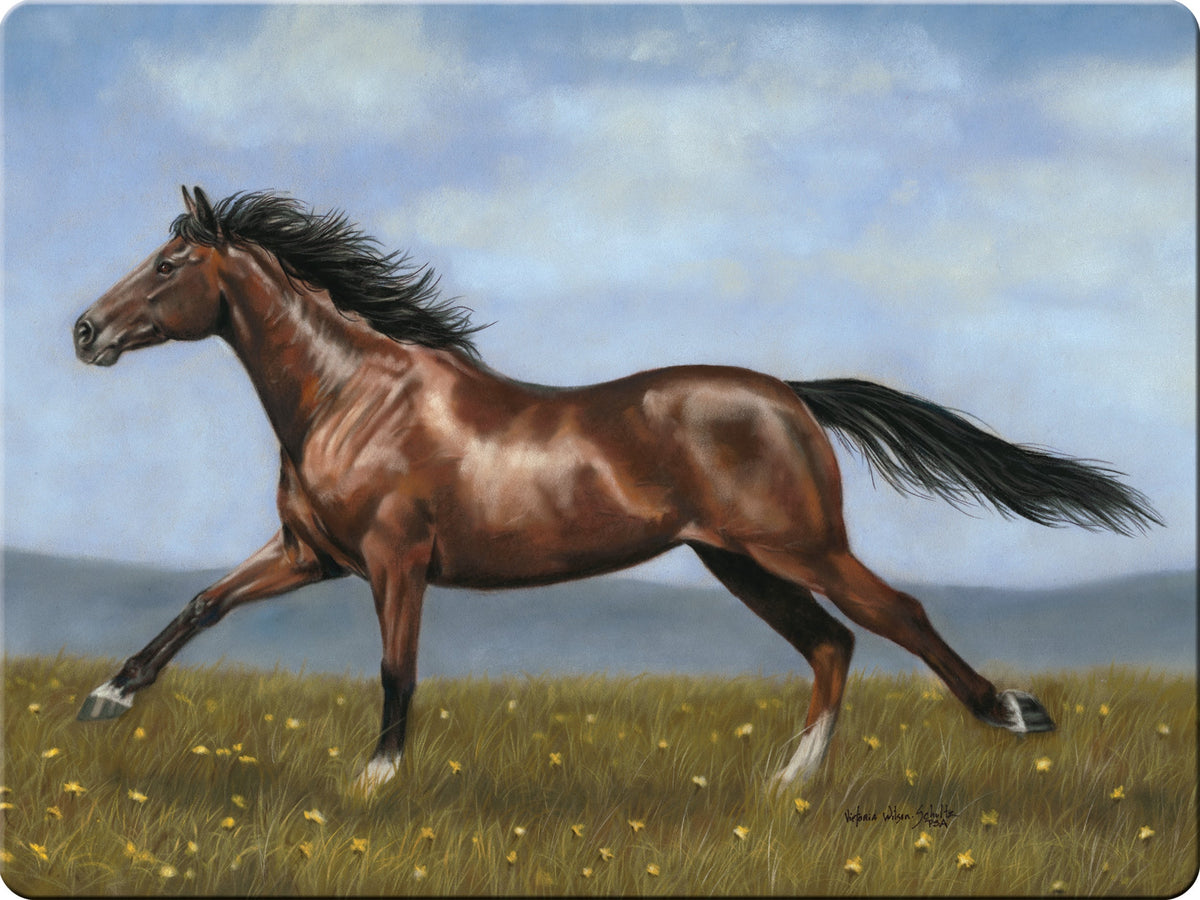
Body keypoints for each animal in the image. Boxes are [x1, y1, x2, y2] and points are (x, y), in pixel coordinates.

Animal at [72, 186, 1161, 795]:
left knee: (895, 615)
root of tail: (792, 394)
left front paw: (375, 780)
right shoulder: (311, 554)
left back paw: (1013, 713)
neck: (351, 398)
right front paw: (105, 699)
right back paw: (786, 784)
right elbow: (201, 605)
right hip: (737, 562)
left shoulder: (393, 563)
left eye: (168, 263)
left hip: (798, 546)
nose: (84, 331)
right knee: (832, 643)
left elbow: (395, 671)